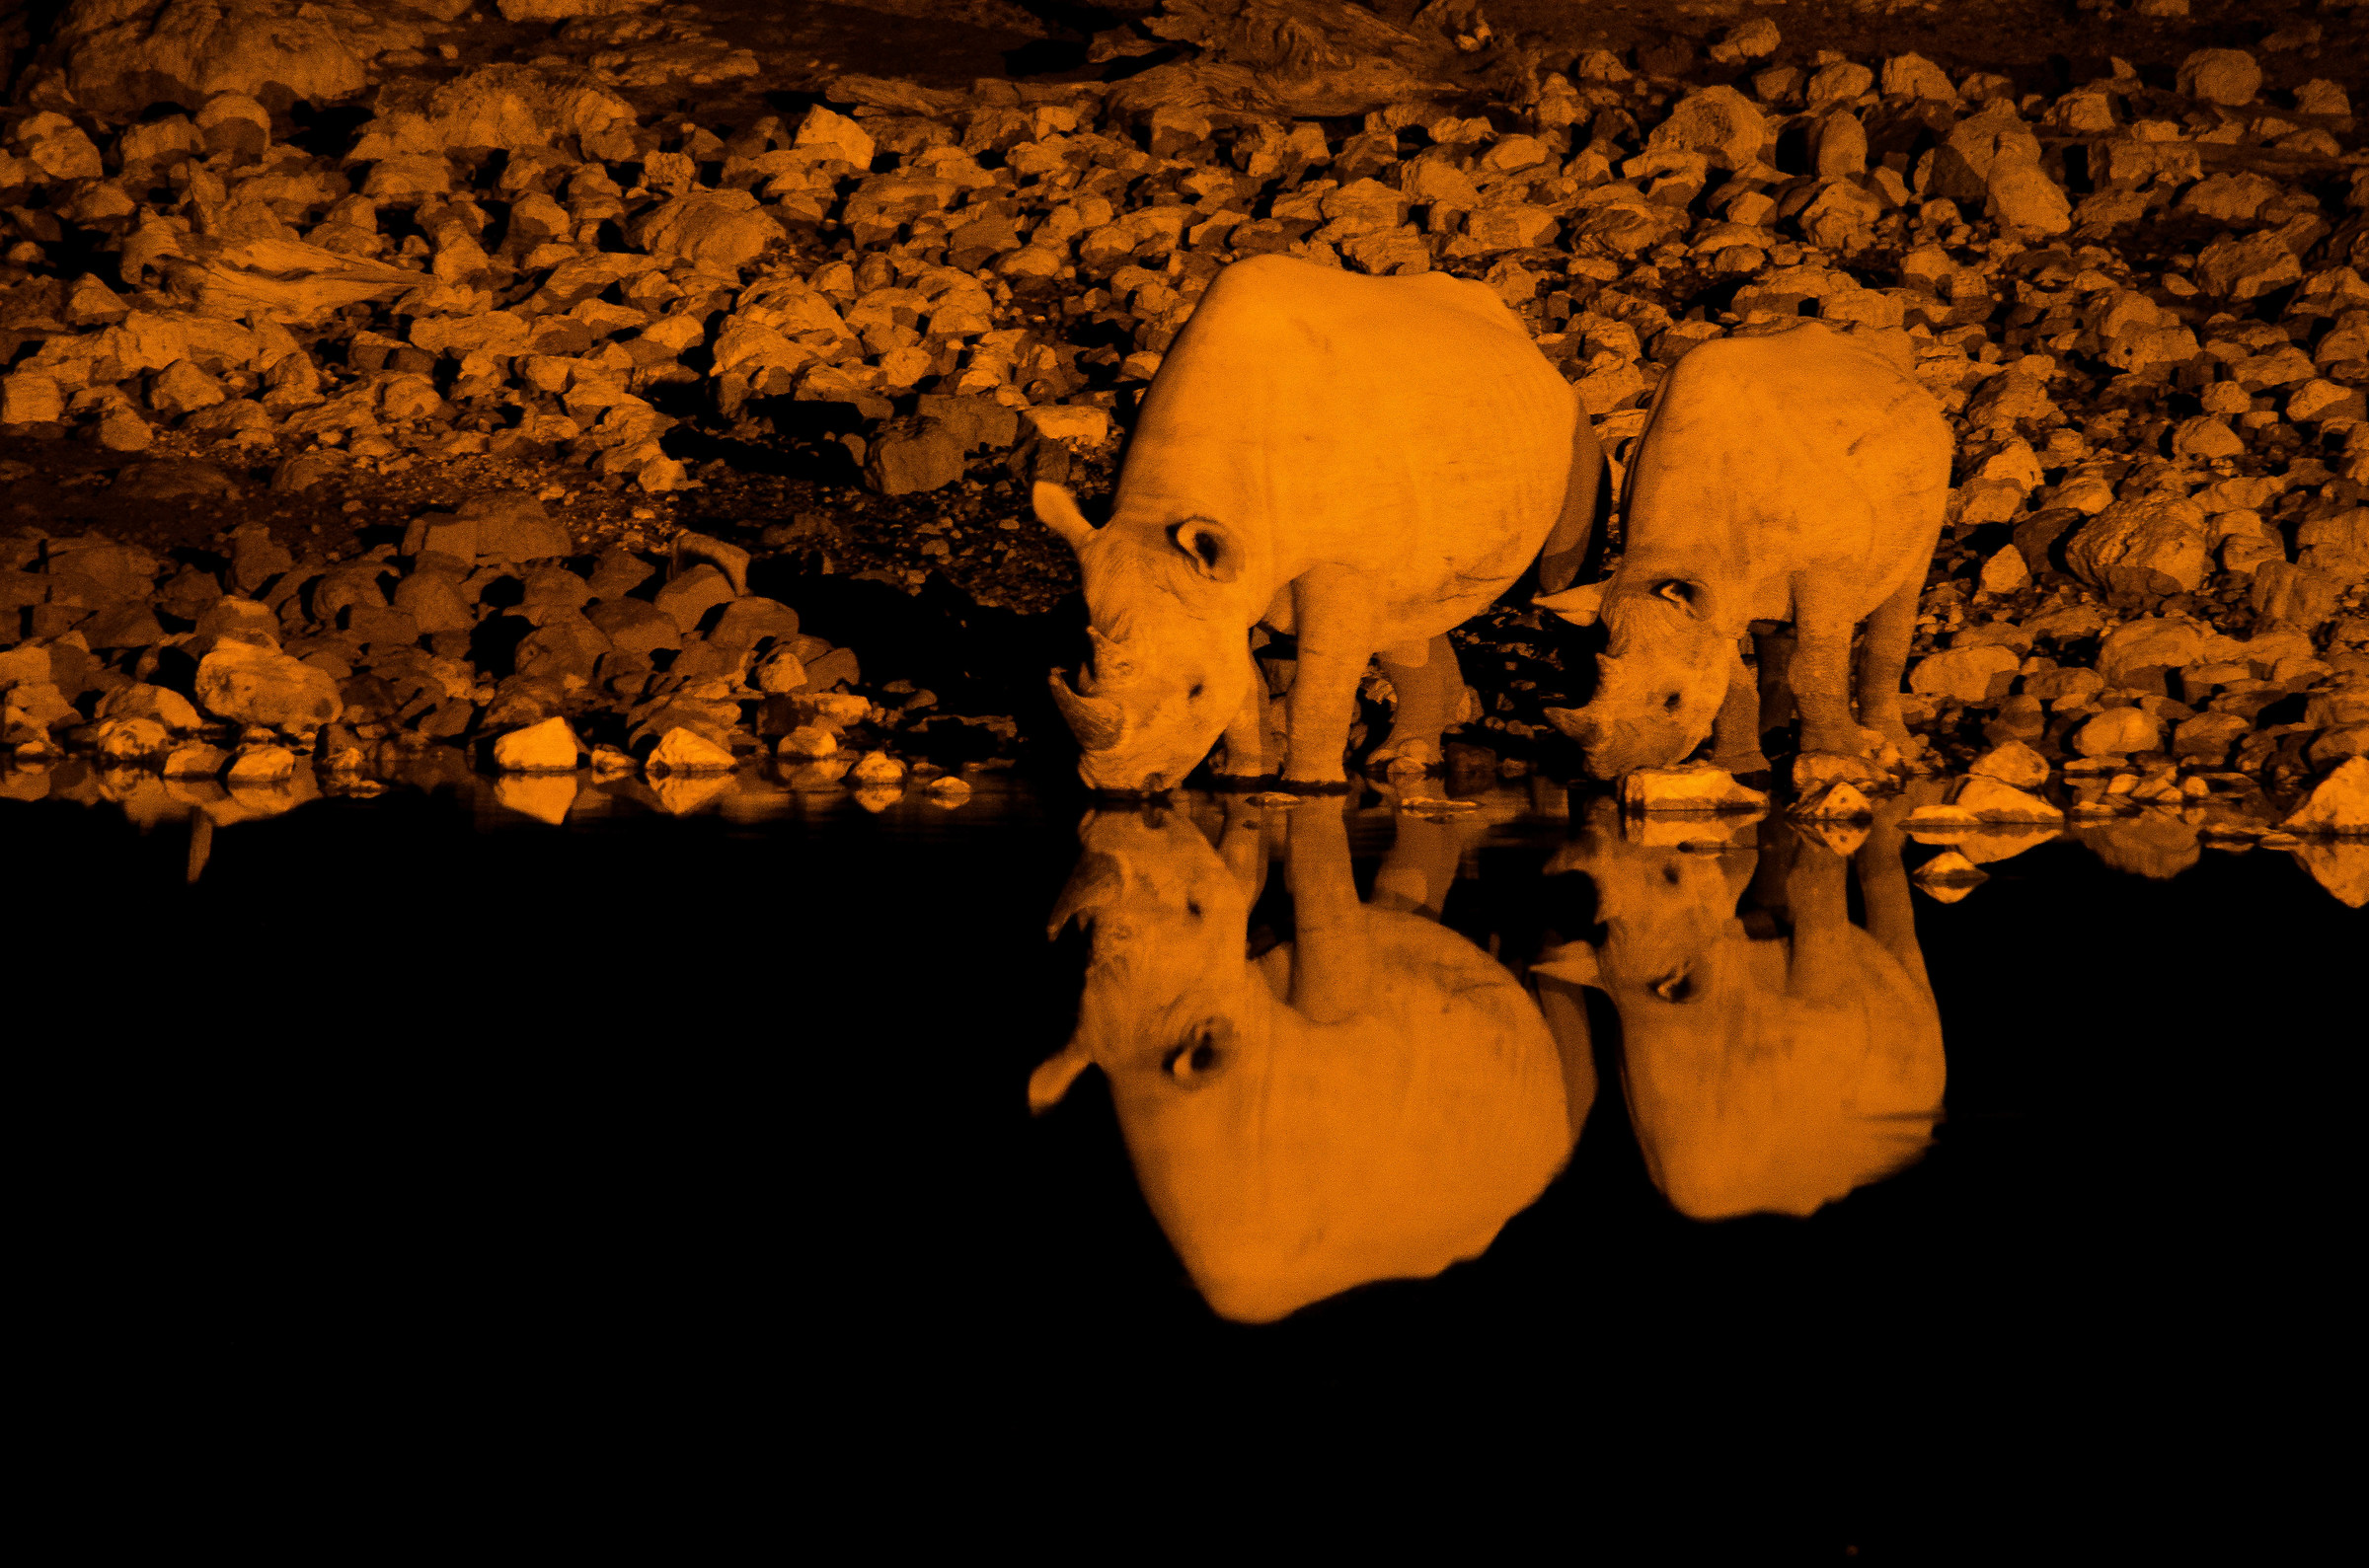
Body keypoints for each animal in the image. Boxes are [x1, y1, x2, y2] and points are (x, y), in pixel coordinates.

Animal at [1038, 253, 1605, 794]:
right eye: (1081, 669)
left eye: (1194, 692)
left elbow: (1317, 686)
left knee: (1554, 576)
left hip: (1573, 419)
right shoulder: (1224, 575)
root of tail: (1521, 336)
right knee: (1411, 610)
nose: (1116, 786)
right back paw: (1404, 761)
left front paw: (1313, 786)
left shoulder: (1332, 562)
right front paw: (1244, 778)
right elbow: (1243, 681)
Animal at [1537, 320, 1951, 779]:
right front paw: (1743, 768)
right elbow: (1731, 680)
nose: (1608, 771)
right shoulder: (1709, 597)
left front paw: (1838, 758)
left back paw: (1899, 747)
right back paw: (1773, 736)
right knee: (1772, 626)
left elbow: (1815, 665)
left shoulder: (1826, 566)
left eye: (1672, 701)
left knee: (1905, 586)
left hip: (1930, 461)